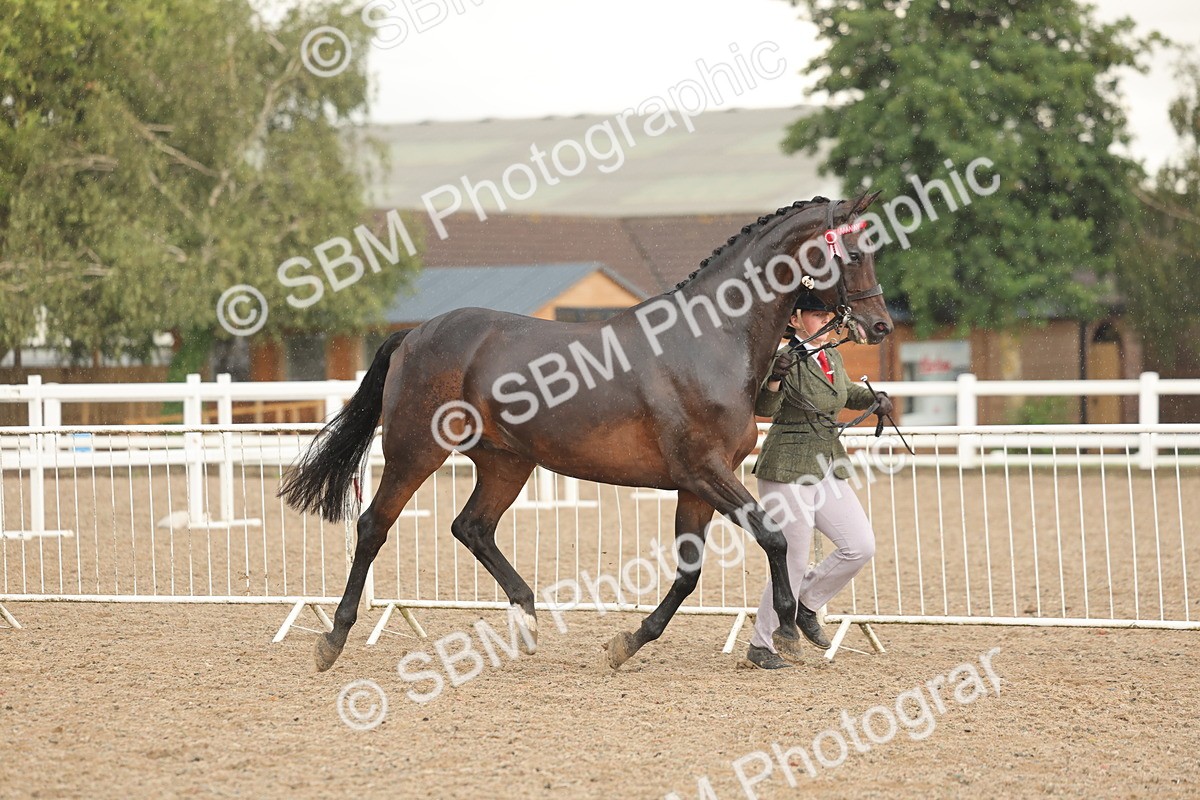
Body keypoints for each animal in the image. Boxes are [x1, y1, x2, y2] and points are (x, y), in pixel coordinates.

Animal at [278, 193, 893, 672]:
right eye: (853, 253)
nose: (880, 325)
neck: (710, 337)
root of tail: (414, 334)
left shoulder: (697, 485)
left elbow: (688, 574)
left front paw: (628, 642)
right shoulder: (705, 471)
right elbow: (774, 537)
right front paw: (788, 632)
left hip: (507, 461)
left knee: (471, 527)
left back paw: (527, 622)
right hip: (415, 451)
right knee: (373, 527)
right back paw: (333, 639)